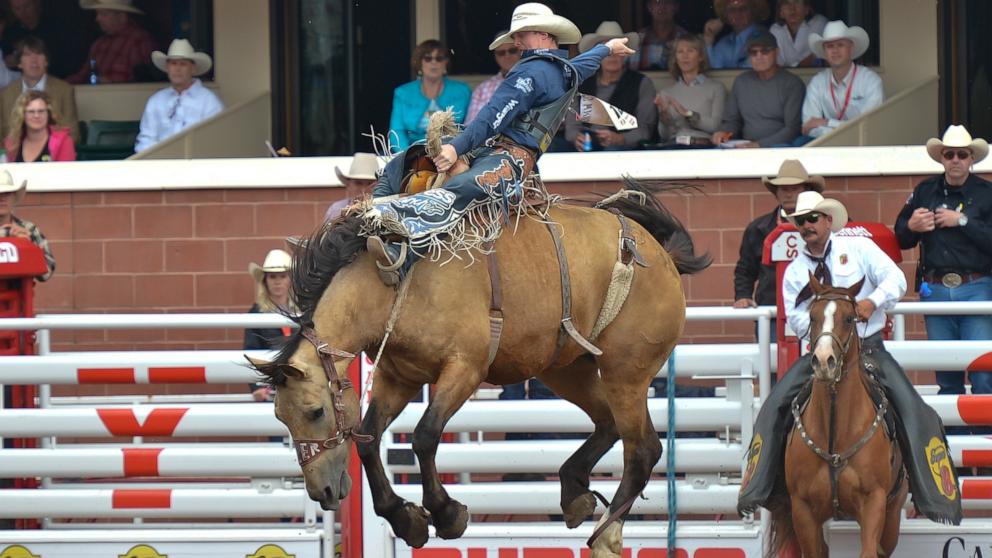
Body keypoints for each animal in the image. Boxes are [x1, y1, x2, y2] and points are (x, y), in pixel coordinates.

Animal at [248, 180, 712, 558]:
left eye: (315, 412)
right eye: (280, 417)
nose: (322, 491)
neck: (395, 283)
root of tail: (656, 251)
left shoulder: (465, 369)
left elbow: (425, 435)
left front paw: (446, 512)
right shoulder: (399, 377)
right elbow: (368, 437)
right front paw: (406, 519)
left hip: (625, 370)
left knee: (642, 448)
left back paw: (606, 537)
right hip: (565, 368)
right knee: (608, 424)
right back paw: (573, 492)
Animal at [772, 276, 912, 558]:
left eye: (849, 318)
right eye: (812, 316)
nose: (824, 361)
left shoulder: (874, 503)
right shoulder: (802, 510)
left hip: (892, 515)